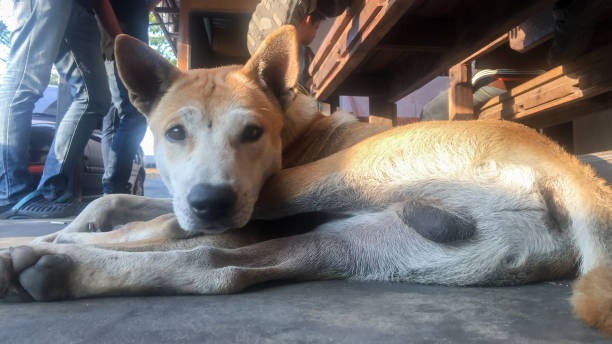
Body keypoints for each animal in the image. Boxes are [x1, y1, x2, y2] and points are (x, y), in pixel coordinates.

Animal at [0, 26, 608, 336]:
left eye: (252, 132)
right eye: (173, 133)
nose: (212, 202)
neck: (295, 126)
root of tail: (569, 169)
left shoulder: (245, 201)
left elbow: (142, 220)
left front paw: (55, 233)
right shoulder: (192, 199)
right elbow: (119, 201)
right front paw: (78, 222)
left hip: (311, 184)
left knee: (195, 244)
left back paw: (40, 255)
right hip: (365, 246)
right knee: (214, 265)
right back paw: (57, 269)